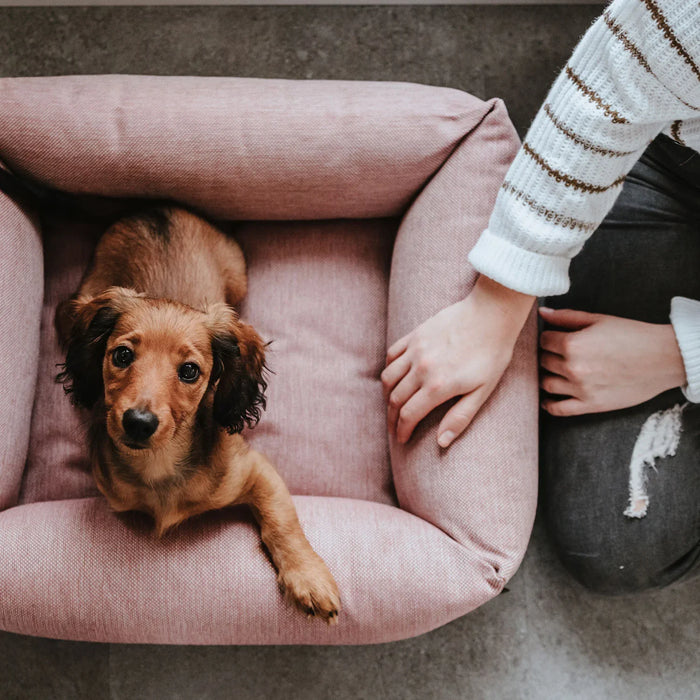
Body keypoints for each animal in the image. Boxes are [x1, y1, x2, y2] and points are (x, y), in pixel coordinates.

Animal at [51, 204, 340, 624]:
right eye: (121, 355)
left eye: (189, 371)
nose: (138, 423)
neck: (160, 465)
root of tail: (157, 208)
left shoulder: (254, 469)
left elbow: (282, 521)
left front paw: (309, 578)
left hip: (238, 277)